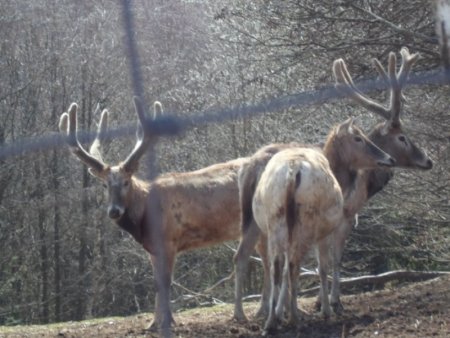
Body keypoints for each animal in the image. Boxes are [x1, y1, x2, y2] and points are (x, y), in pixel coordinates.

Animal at [58, 100, 250, 332]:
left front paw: (168, 322)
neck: (145, 216)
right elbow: (157, 282)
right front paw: (152, 323)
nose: (114, 211)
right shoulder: (152, 248)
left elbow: (166, 281)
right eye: (104, 185)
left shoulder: (170, 240)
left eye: (126, 182)